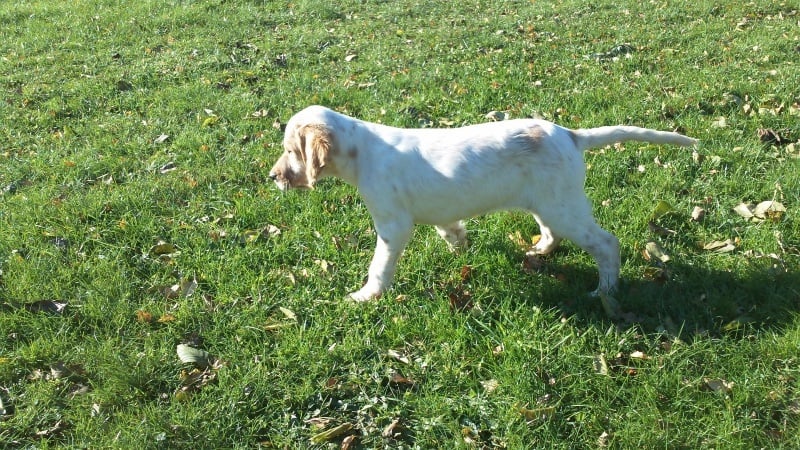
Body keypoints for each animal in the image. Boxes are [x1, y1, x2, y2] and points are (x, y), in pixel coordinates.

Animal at [269, 105, 698, 301]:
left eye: (291, 151)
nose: (273, 177)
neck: (362, 152)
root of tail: (570, 135)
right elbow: (449, 227)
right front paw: (459, 243)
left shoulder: (392, 225)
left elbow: (379, 267)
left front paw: (364, 296)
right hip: (547, 200)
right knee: (551, 231)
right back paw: (539, 251)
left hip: (565, 207)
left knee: (606, 243)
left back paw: (604, 291)